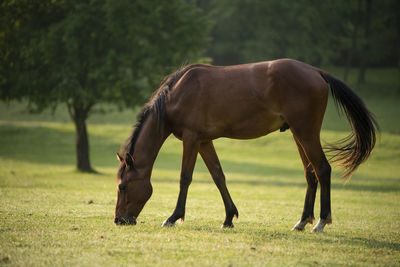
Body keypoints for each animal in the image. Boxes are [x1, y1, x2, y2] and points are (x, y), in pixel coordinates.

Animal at [113, 58, 378, 232]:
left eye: (123, 187)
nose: (120, 220)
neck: (177, 94)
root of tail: (315, 71)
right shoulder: (204, 141)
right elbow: (218, 176)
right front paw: (229, 217)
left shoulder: (191, 138)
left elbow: (185, 178)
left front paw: (173, 217)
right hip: (299, 134)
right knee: (310, 173)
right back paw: (302, 221)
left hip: (306, 133)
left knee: (322, 169)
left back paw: (322, 221)